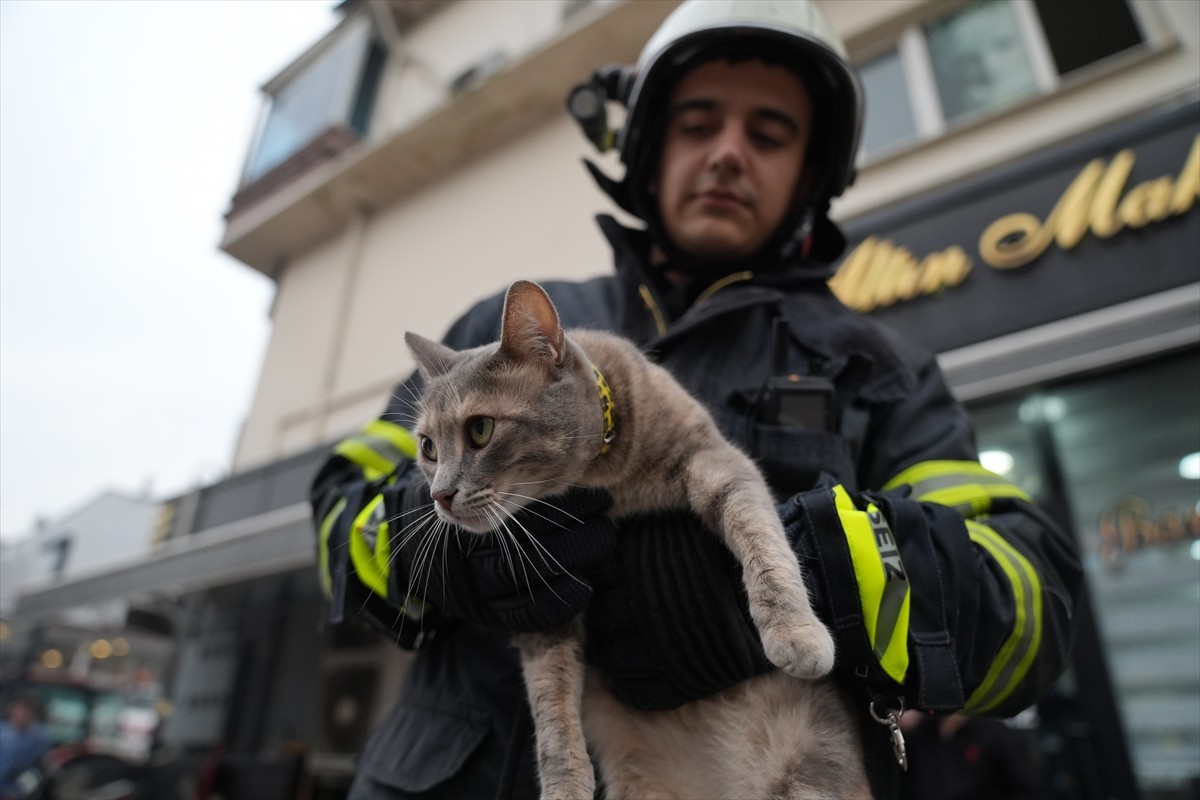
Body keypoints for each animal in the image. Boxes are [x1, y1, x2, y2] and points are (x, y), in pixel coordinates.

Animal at [405, 281, 873, 800]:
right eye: (428, 447)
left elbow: (761, 539)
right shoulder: (546, 603)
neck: (604, 482)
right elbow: (551, 702)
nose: (439, 495)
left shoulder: (716, 461)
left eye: (481, 429)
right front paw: (564, 785)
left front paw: (795, 632)